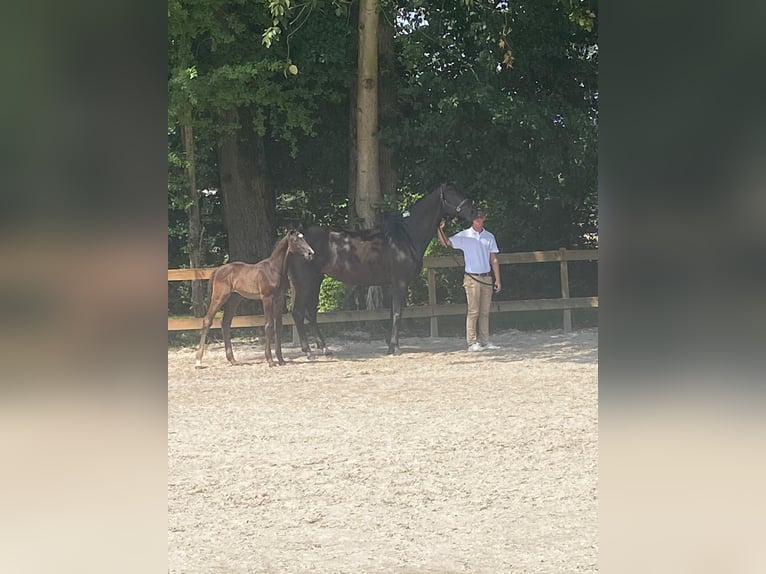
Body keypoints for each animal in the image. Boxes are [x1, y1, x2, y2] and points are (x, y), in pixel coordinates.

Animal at [198, 230, 318, 368]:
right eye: (296, 240)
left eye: (303, 238)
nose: (311, 253)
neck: (274, 270)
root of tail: (217, 270)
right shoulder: (267, 298)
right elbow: (269, 325)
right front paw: (270, 360)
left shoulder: (279, 299)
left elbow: (279, 326)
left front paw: (281, 360)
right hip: (219, 298)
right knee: (207, 320)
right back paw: (198, 361)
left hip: (234, 300)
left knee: (226, 323)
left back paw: (232, 360)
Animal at [290, 184, 476, 356]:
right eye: (453, 194)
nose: (476, 212)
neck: (406, 236)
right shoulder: (400, 282)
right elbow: (397, 313)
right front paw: (394, 347)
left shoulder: (395, 284)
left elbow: (393, 312)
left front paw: (391, 344)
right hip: (305, 283)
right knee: (298, 313)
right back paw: (308, 351)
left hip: (315, 281)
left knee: (310, 313)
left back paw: (324, 348)